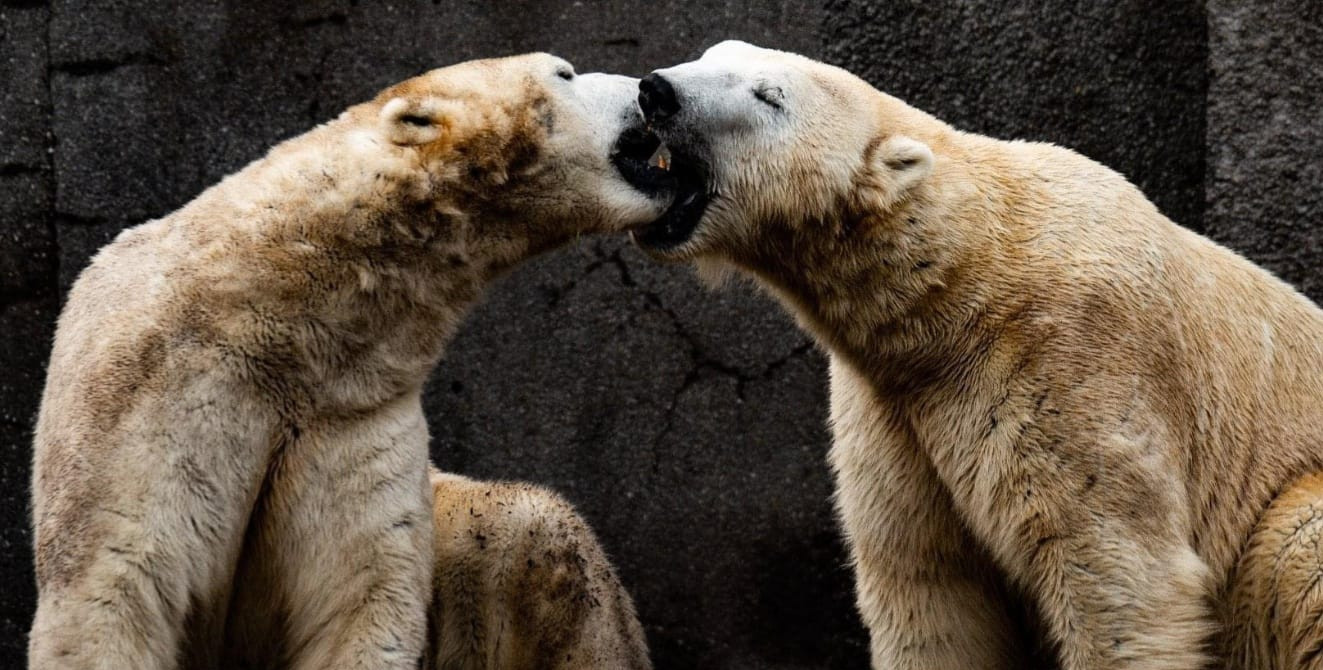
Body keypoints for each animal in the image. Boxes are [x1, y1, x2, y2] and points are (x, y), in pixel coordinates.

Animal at [31, 53, 672, 670]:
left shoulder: (354, 419)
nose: (646, 87)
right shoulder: (153, 393)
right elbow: (117, 582)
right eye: (564, 72)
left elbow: (360, 598)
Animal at [619, 41, 1323, 670]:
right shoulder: (891, 412)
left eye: (771, 96)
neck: (964, 283)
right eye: (710, 53)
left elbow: (1120, 577)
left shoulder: (1076, 366)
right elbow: (929, 590)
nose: (655, 90)